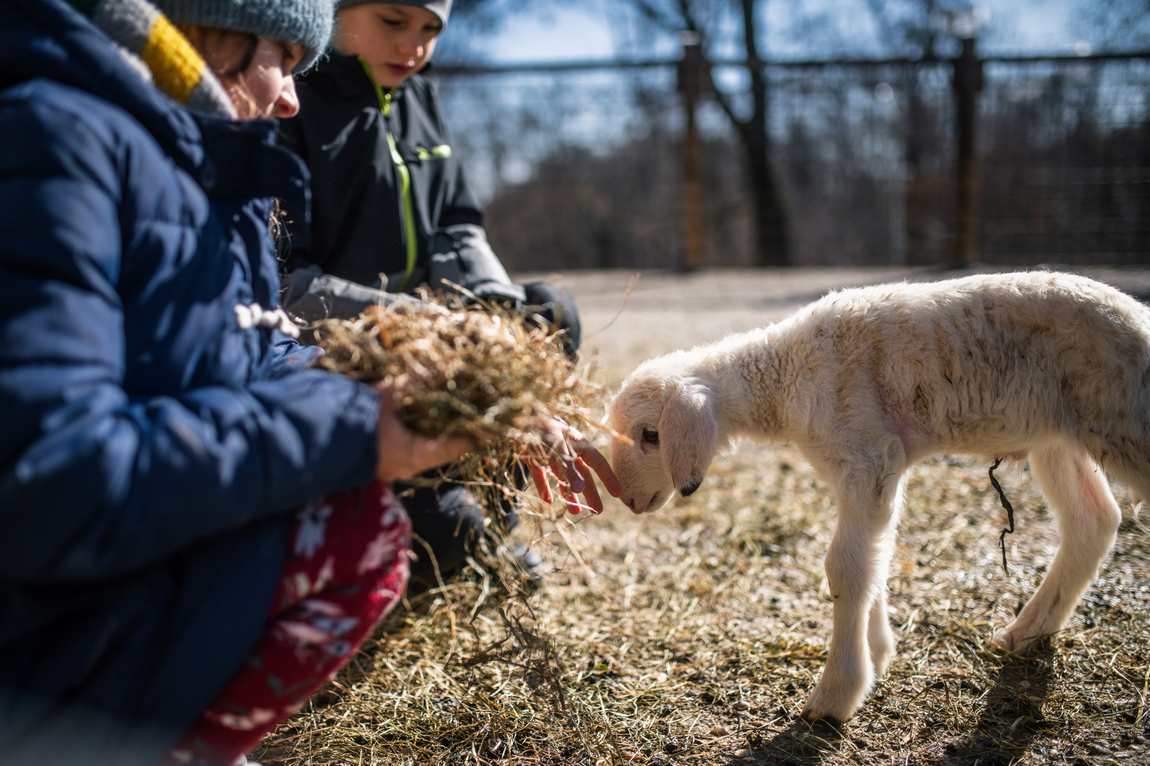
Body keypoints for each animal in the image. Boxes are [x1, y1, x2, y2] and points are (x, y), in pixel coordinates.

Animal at [607, 270, 1145, 722]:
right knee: (1094, 520)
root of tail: (1139, 317)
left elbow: (845, 567)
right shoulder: (873, 467)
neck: (784, 375)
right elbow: (874, 559)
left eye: (651, 435)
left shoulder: (868, 456)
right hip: (1059, 438)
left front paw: (836, 695)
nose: (627, 500)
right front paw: (879, 650)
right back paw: (1026, 631)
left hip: (1121, 420)